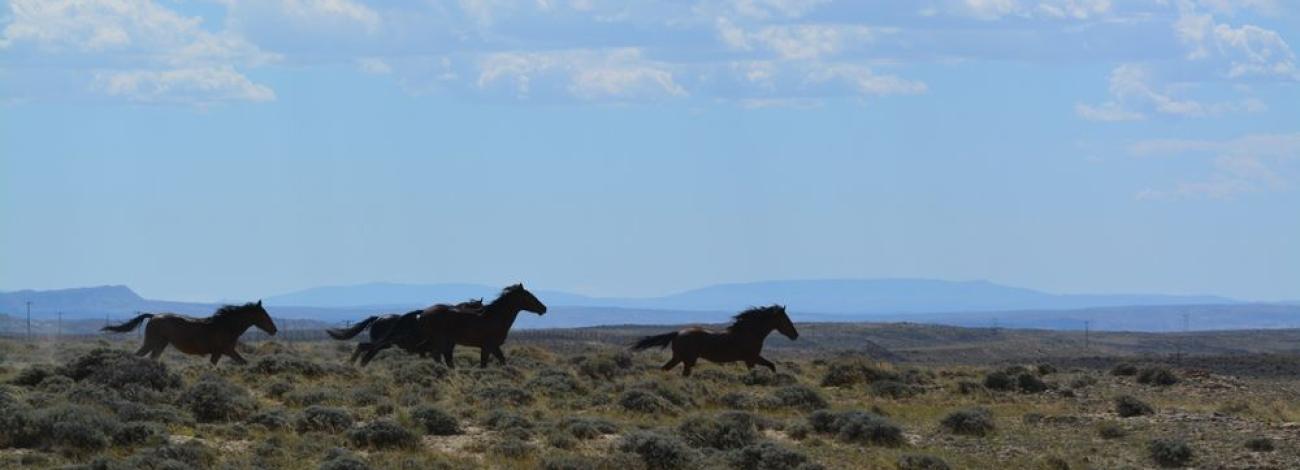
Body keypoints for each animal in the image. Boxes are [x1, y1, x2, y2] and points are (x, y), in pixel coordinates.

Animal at [101, 300, 278, 365]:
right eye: (263, 314)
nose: (274, 330)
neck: (227, 325)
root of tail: (153, 316)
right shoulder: (227, 350)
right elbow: (243, 362)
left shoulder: (219, 352)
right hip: (152, 342)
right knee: (138, 355)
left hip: (161, 344)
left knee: (151, 358)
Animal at [327, 298, 484, 364]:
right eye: (479, 308)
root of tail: (378, 317)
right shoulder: (436, 350)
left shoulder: (437, 351)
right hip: (382, 343)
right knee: (362, 347)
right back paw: (351, 364)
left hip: (383, 345)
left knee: (366, 355)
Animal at [362, 284, 547, 368]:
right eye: (529, 296)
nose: (543, 308)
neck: (494, 317)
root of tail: (423, 313)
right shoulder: (489, 346)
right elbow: (488, 363)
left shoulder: (491, 347)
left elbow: (500, 361)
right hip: (437, 340)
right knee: (436, 355)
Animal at [629, 304, 798, 377]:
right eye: (785, 319)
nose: (795, 335)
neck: (749, 332)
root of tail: (678, 333)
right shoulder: (751, 358)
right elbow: (771, 366)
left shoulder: (750, 359)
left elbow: (771, 366)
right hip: (688, 360)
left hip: (679, 358)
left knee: (664, 369)